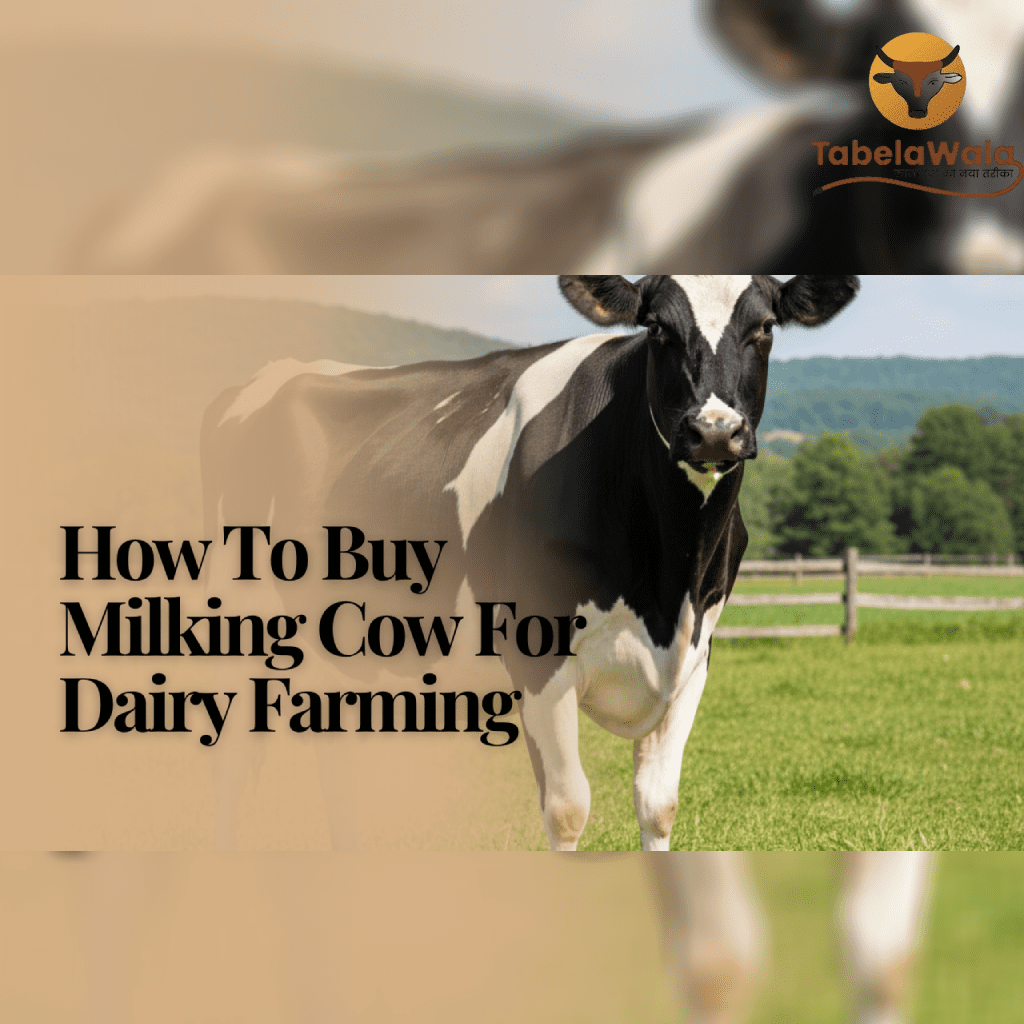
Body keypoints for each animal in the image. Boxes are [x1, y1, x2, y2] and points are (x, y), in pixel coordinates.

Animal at [202, 274, 859, 851]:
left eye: (765, 326)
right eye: (657, 327)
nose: (715, 432)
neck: (668, 577)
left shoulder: (693, 659)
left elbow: (659, 804)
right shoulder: (540, 656)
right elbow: (568, 808)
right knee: (231, 772)